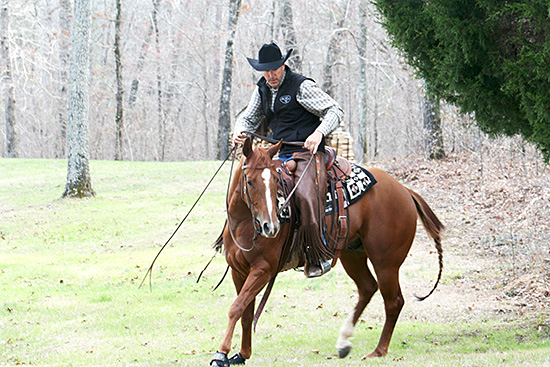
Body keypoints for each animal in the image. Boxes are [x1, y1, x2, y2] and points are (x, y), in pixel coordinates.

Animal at [209, 137, 446, 366]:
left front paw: (221, 354)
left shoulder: (263, 270)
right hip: (352, 255)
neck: (243, 223)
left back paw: (378, 351)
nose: (271, 227)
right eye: (249, 181)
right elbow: (246, 313)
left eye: (276, 181)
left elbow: (236, 308)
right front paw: (242, 354)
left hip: (386, 263)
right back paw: (343, 342)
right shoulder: (239, 271)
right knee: (367, 288)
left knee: (394, 301)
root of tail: (404, 190)